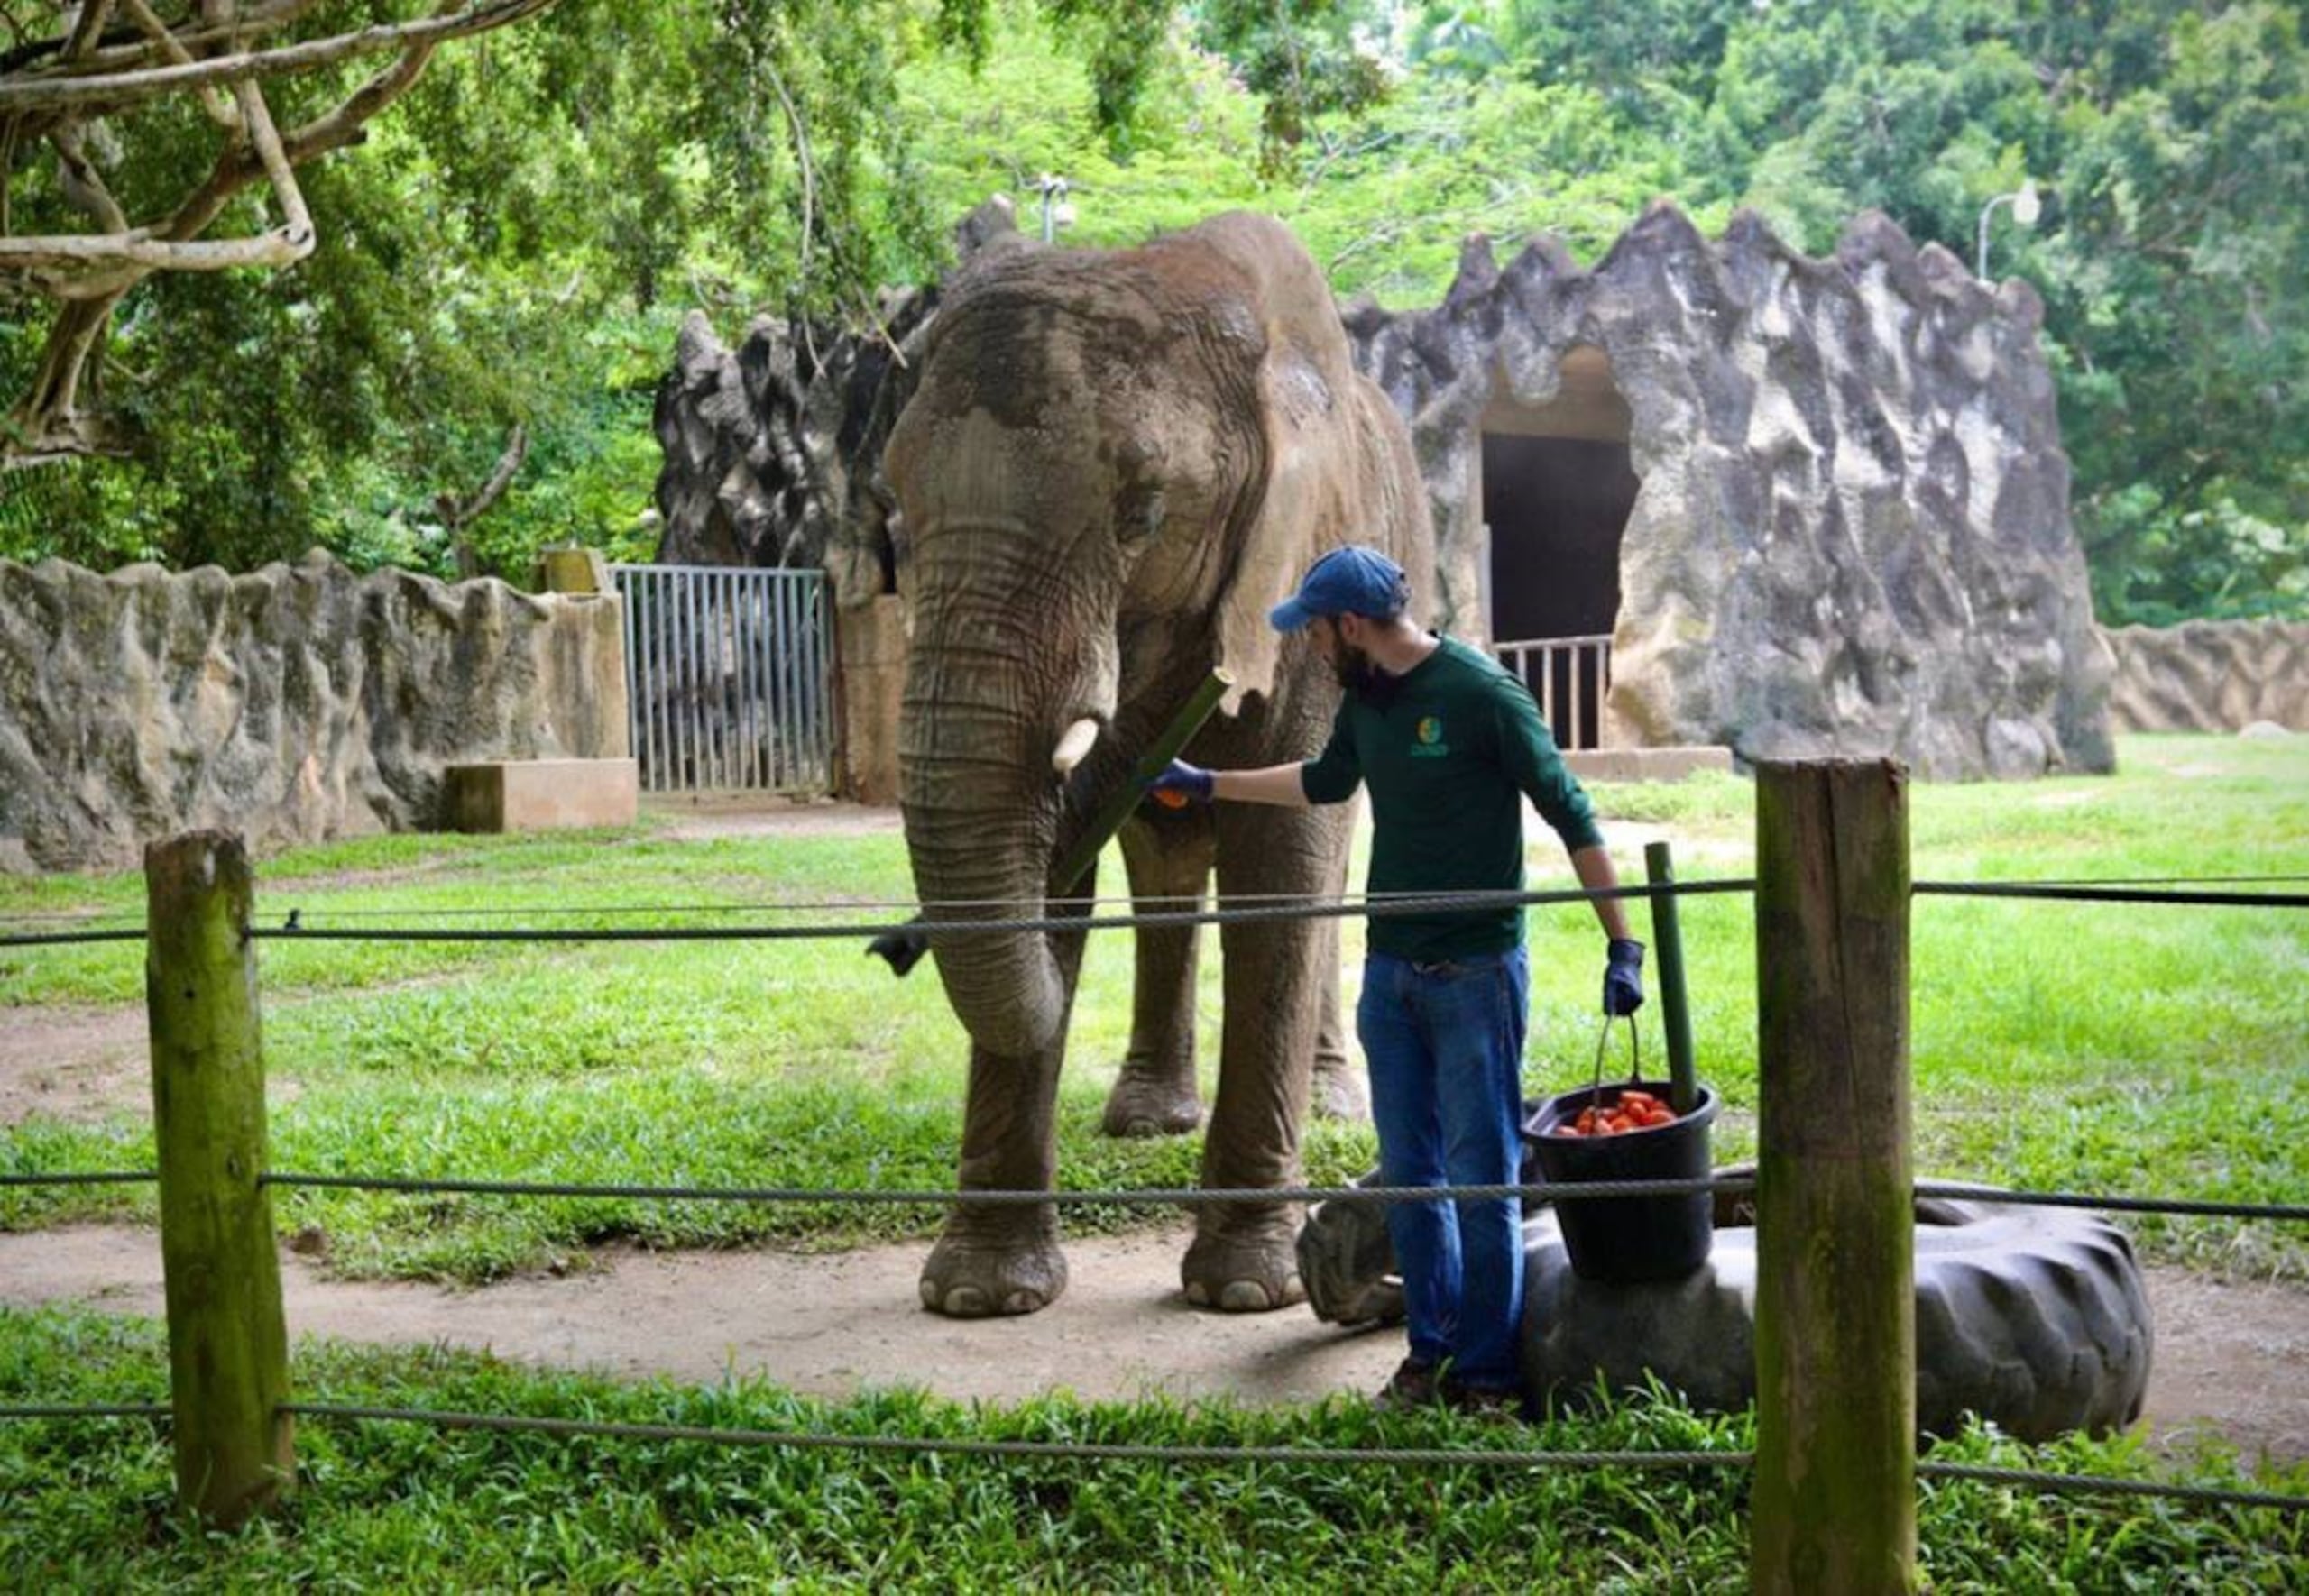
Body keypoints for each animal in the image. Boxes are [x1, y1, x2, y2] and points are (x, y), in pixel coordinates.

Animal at [877, 216, 1421, 1321]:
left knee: (1332, 854)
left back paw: (1331, 1107)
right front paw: (982, 1298)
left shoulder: (1307, 576)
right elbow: (1057, 855)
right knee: (1162, 860)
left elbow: (1281, 863)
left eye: (1143, 513)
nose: (894, 947)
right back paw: (1147, 1121)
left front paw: (1246, 1291)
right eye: (894, 514)